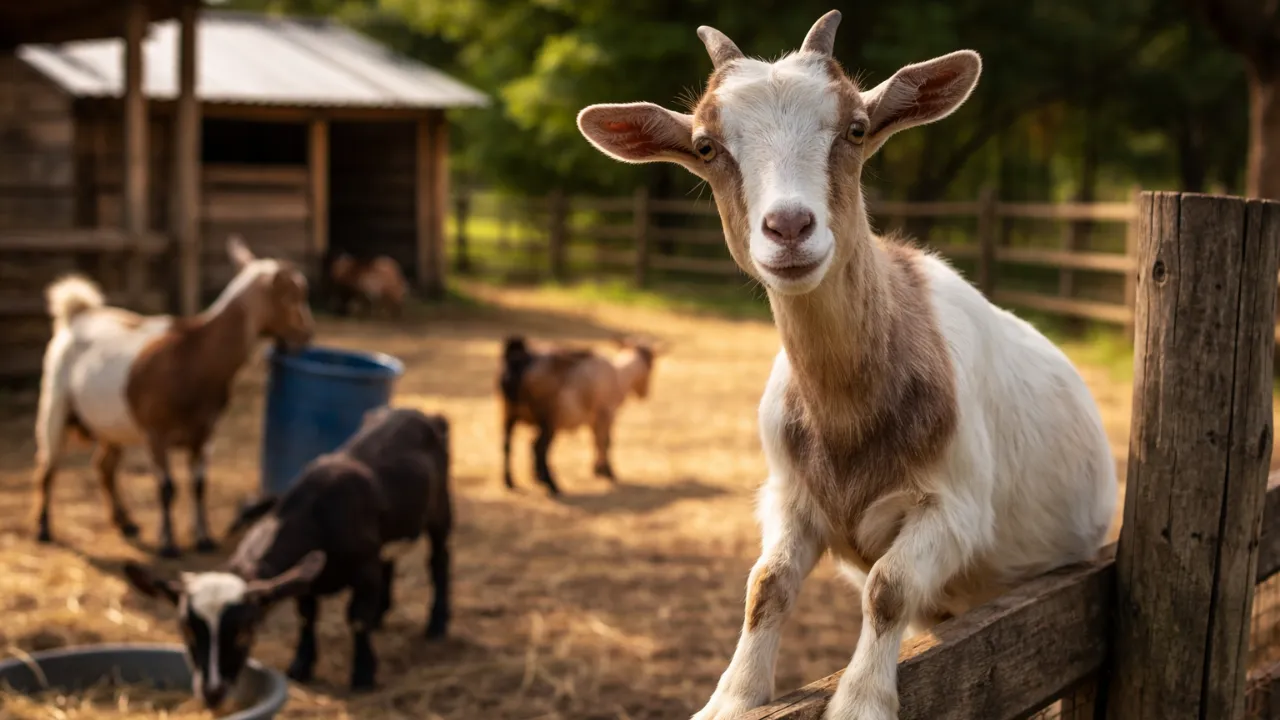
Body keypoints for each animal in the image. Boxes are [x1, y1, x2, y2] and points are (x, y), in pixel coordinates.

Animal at [33, 236, 314, 558]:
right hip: (55, 401)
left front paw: (204, 539)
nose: (307, 335)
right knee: (48, 465)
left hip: (111, 422)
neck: (194, 353)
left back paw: (126, 522)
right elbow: (167, 487)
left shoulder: (205, 433)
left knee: (104, 466)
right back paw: (43, 529)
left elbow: (199, 485)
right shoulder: (156, 433)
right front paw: (168, 544)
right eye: (292, 296)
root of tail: (77, 315)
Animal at [123, 406, 452, 709]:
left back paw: (437, 623)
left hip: (440, 511)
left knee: (439, 561)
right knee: (391, 561)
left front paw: (363, 674)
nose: (212, 693)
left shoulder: (365, 568)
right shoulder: (308, 579)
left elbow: (358, 619)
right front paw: (301, 666)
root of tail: (419, 413)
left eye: (244, 633)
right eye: (186, 630)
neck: (320, 517)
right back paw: (382, 614)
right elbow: (307, 616)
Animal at [499, 335, 663, 495]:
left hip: (509, 413)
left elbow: (595, 440)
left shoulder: (593, 418)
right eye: (651, 365)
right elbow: (606, 441)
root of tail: (521, 359)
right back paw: (551, 484)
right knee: (538, 447)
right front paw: (609, 471)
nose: (644, 394)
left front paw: (597, 470)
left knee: (508, 444)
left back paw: (511, 481)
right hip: (548, 420)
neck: (619, 376)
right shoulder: (607, 413)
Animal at [577, 12, 1116, 720]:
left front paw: (862, 701)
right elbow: (767, 583)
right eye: (705, 145)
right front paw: (732, 698)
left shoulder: (957, 508)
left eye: (856, 128)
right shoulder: (789, 495)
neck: (849, 417)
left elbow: (887, 586)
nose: (789, 228)